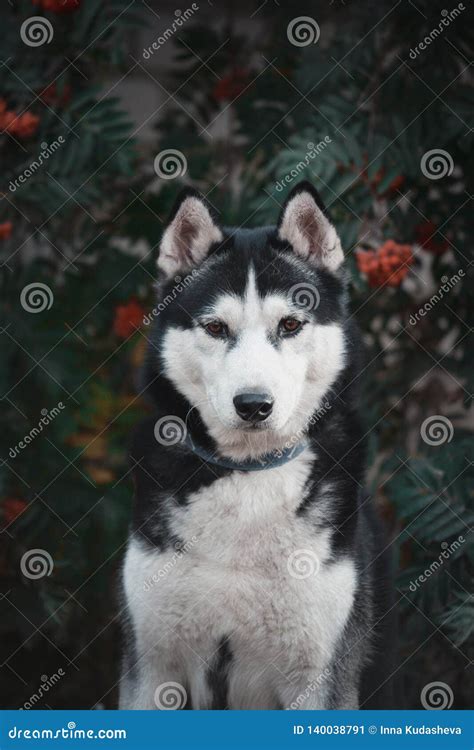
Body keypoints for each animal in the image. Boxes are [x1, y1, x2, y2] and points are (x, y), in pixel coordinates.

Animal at [120, 182, 394, 712]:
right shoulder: (152, 667)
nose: (253, 405)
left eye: (290, 324)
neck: (248, 474)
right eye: (215, 328)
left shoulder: (320, 677)